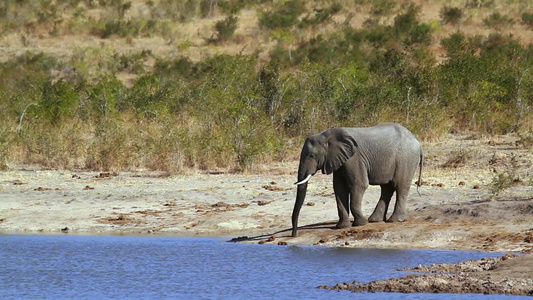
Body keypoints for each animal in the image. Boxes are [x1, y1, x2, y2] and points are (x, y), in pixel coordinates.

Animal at [288, 123, 422, 238]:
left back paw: (394, 220)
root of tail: (417, 142)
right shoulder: (339, 160)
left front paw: (360, 224)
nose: (294, 235)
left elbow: (359, 184)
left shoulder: (354, 159)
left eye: (312, 155)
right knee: (387, 188)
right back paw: (374, 220)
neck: (326, 136)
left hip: (406, 158)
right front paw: (341, 227)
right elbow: (339, 189)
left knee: (400, 186)